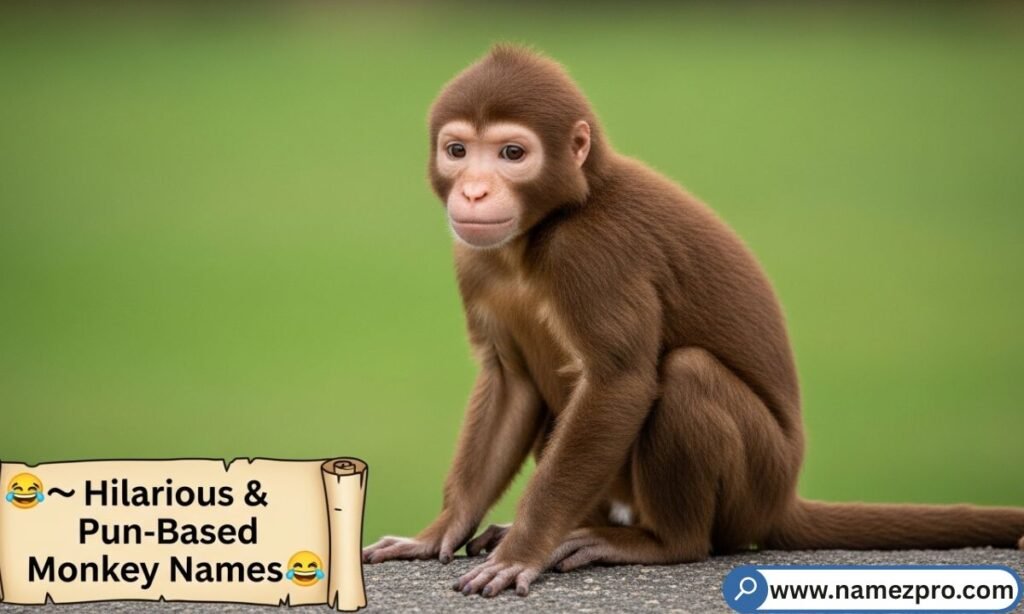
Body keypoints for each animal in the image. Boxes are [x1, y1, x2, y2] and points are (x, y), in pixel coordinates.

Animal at [361, 44, 1024, 598]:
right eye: (458, 151)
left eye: (512, 154)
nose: (473, 191)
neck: (544, 230)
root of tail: (782, 498)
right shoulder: (475, 260)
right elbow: (510, 383)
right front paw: (439, 531)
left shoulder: (595, 254)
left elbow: (620, 382)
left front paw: (524, 551)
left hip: (755, 483)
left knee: (686, 376)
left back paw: (662, 542)